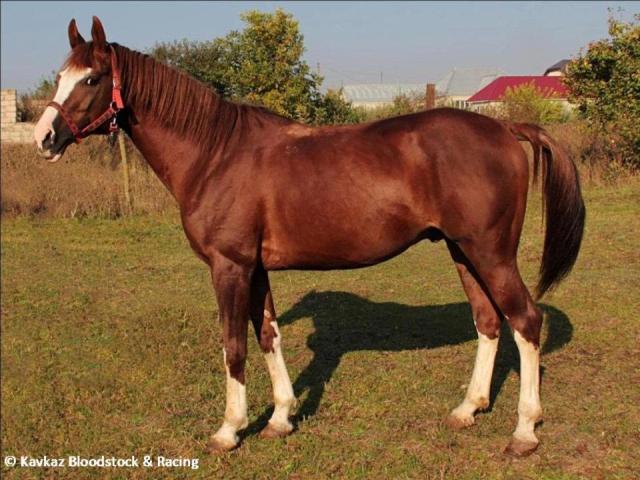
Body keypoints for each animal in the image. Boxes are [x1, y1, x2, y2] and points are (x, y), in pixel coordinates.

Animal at [34, 17, 585, 457]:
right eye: (60, 77)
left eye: (91, 78)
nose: (44, 137)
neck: (216, 154)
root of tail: (507, 129)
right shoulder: (254, 268)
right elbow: (268, 335)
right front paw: (280, 418)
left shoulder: (229, 266)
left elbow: (234, 344)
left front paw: (229, 430)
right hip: (463, 251)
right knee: (489, 322)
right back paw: (468, 408)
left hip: (491, 253)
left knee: (525, 321)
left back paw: (524, 431)